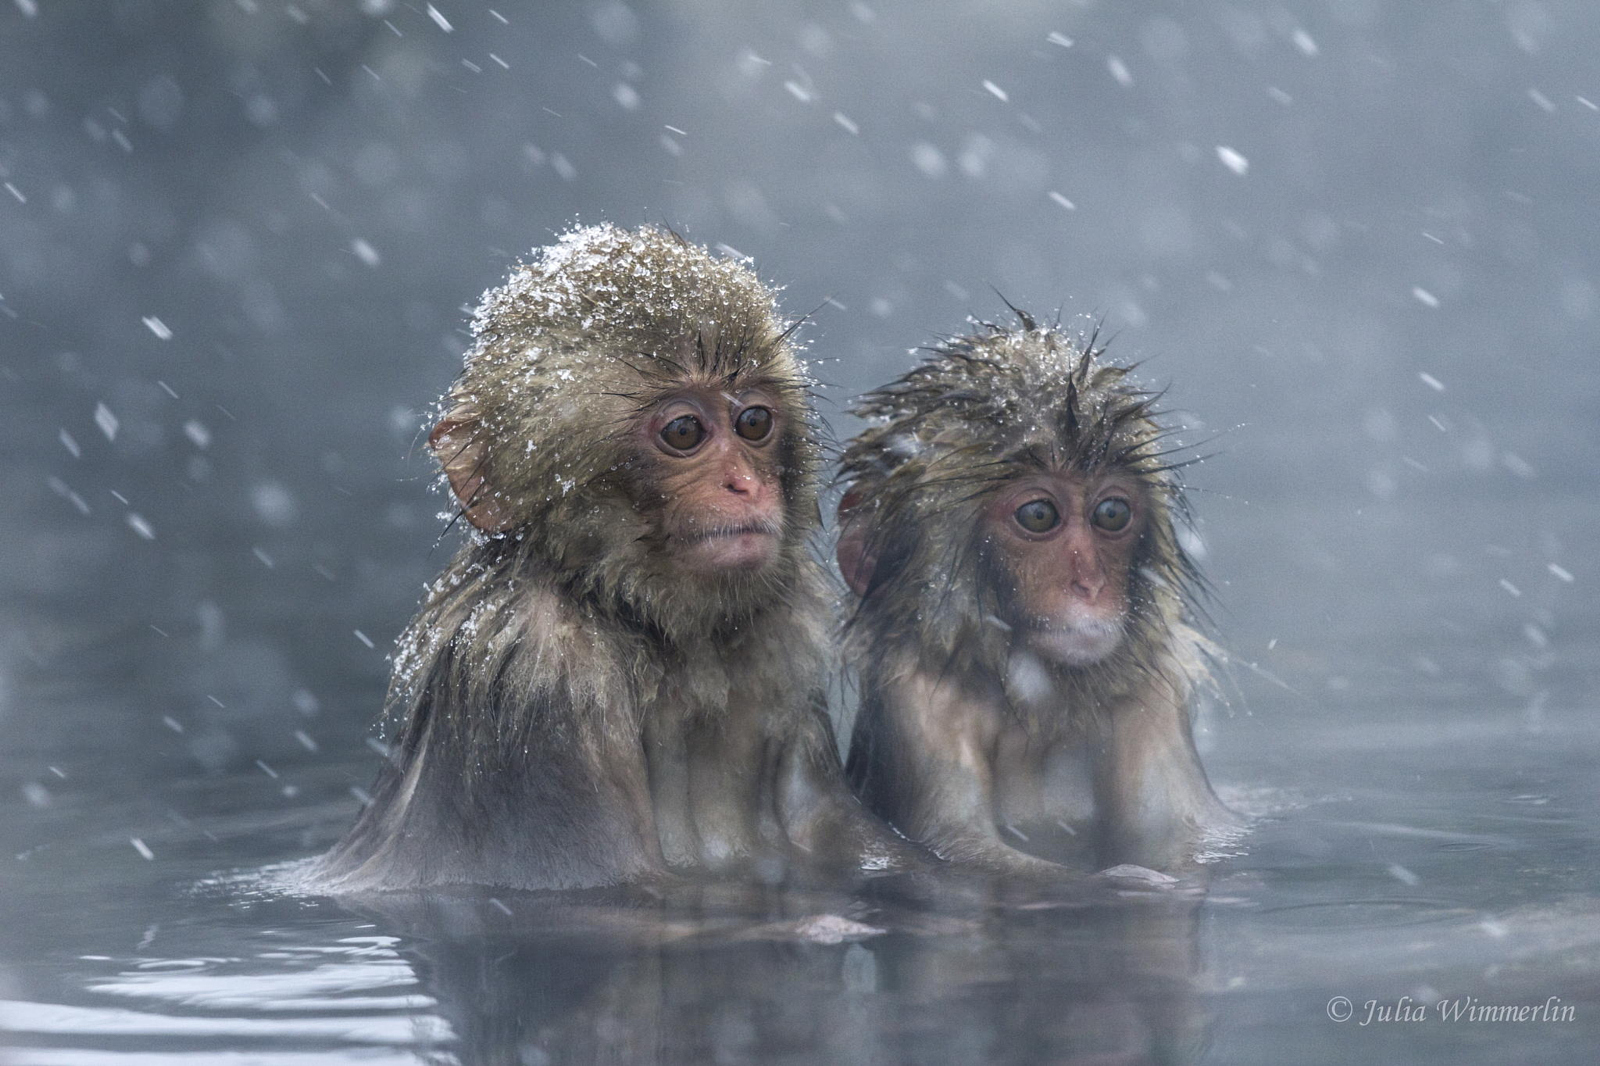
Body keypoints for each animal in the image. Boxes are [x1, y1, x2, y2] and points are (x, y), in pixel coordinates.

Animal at [315, 224, 928, 889]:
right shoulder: (536, 674)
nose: (744, 483)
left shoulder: (784, 653)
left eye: (753, 421)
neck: (655, 637)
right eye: (684, 432)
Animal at [838, 320, 1235, 877]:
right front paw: (1127, 881)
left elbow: (1184, 833)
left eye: (1111, 513)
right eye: (1039, 515)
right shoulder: (916, 702)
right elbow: (957, 845)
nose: (1090, 583)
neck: (1037, 708)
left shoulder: (1154, 696)